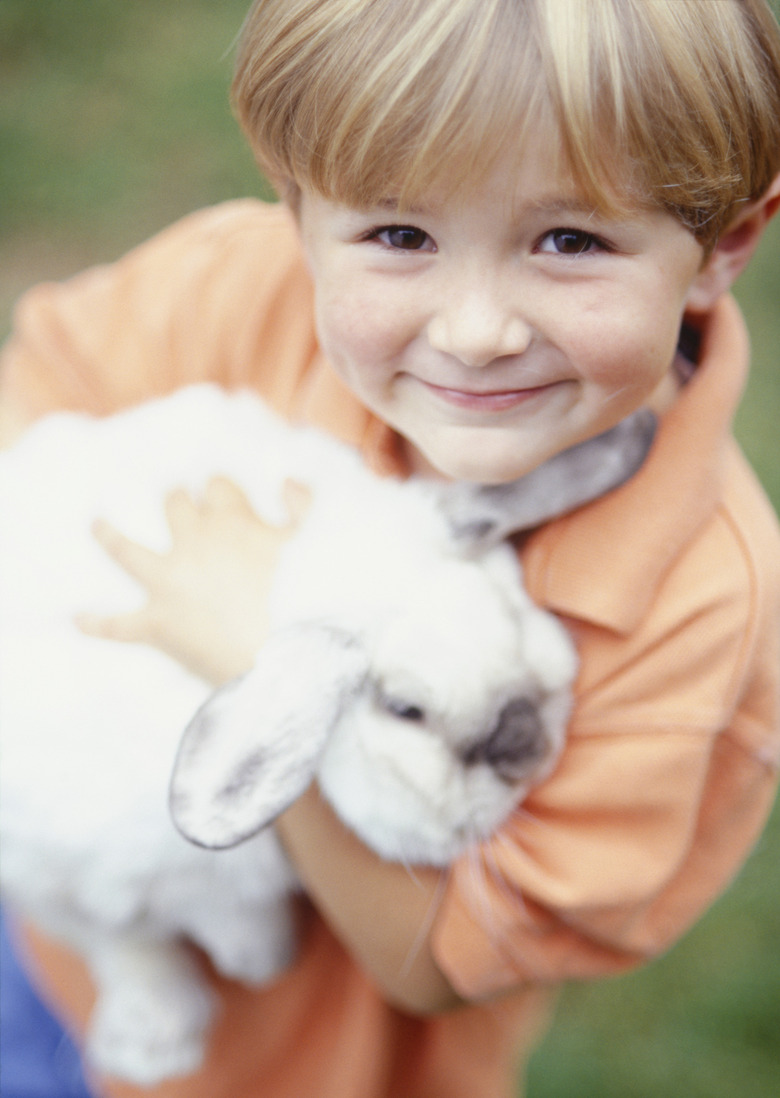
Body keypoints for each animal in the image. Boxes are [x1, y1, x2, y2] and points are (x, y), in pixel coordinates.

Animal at [0, 384, 654, 1080]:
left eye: (512, 611)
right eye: (404, 709)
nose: (523, 743)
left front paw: (257, 959)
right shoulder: (51, 867)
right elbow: (126, 938)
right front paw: (170, 1033)